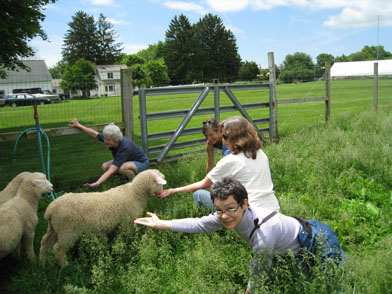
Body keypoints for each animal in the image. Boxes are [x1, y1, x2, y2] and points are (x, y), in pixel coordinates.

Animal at [39, 168, 167, 266]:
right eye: (160, 183)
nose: (162, 193)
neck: (134, 193)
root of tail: (50, 209)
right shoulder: (127, 221)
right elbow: (128, 235)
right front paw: (129, 245)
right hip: (68, 229)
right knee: (58, 248)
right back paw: (64, 265)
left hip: (55, 227)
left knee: (44, 242)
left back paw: (42, 262)